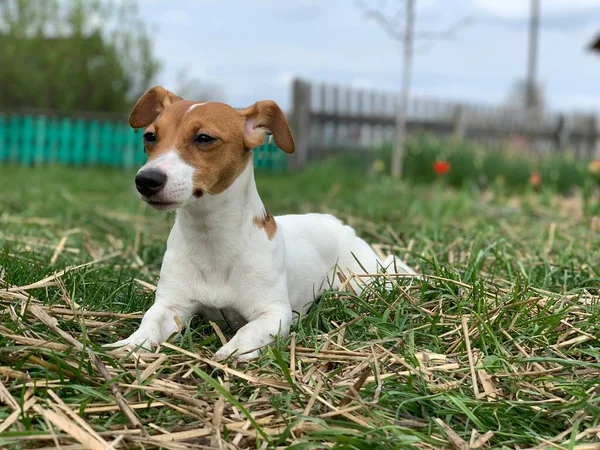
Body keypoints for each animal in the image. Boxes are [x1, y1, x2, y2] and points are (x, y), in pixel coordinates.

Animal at [105, 86, 414, 360]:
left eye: (204, 138)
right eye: (150, 136)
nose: (146, 180)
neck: (212, 240)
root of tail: (339, 224)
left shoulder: (273, 314)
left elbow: (249, 331)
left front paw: (233, 352)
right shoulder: (171, 305)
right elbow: (149, 322)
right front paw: (131, 343)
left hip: (365, 281)